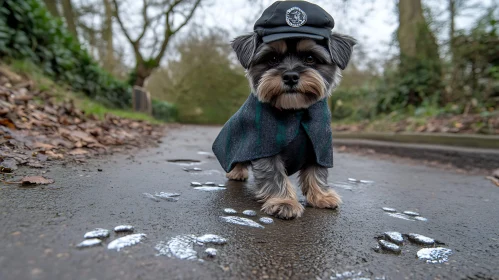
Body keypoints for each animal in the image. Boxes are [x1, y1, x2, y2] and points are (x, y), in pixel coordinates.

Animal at [211, 0, 356, 220]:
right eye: (272, 59)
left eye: (310, 58)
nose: (290, 76)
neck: (295, 111)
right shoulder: (265, 147)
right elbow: (275, 176)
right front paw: (284, 202)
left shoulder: (319, 145)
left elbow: (317, 172)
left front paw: (321, 196)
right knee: (237, 160)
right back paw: (236, 172)